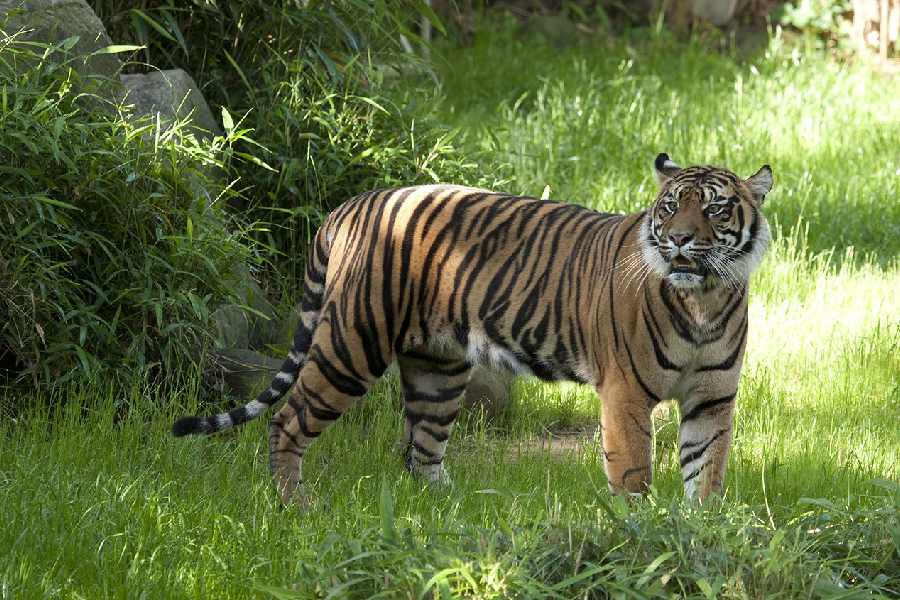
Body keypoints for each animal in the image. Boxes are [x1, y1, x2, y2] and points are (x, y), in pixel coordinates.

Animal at [172, 154, 768, 502]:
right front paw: (636, 533)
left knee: (422, 449)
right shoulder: (625, 395)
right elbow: (633, 474)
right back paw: (294, 505)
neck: (703, 299)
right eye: (669, 208)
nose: (680, 239)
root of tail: (352, 204)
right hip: (352, 343)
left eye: (715, 209)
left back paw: (451, 513)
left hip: (437, 368)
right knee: (287, 420)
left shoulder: (713, 399)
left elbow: (707, 473)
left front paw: (696, 536)